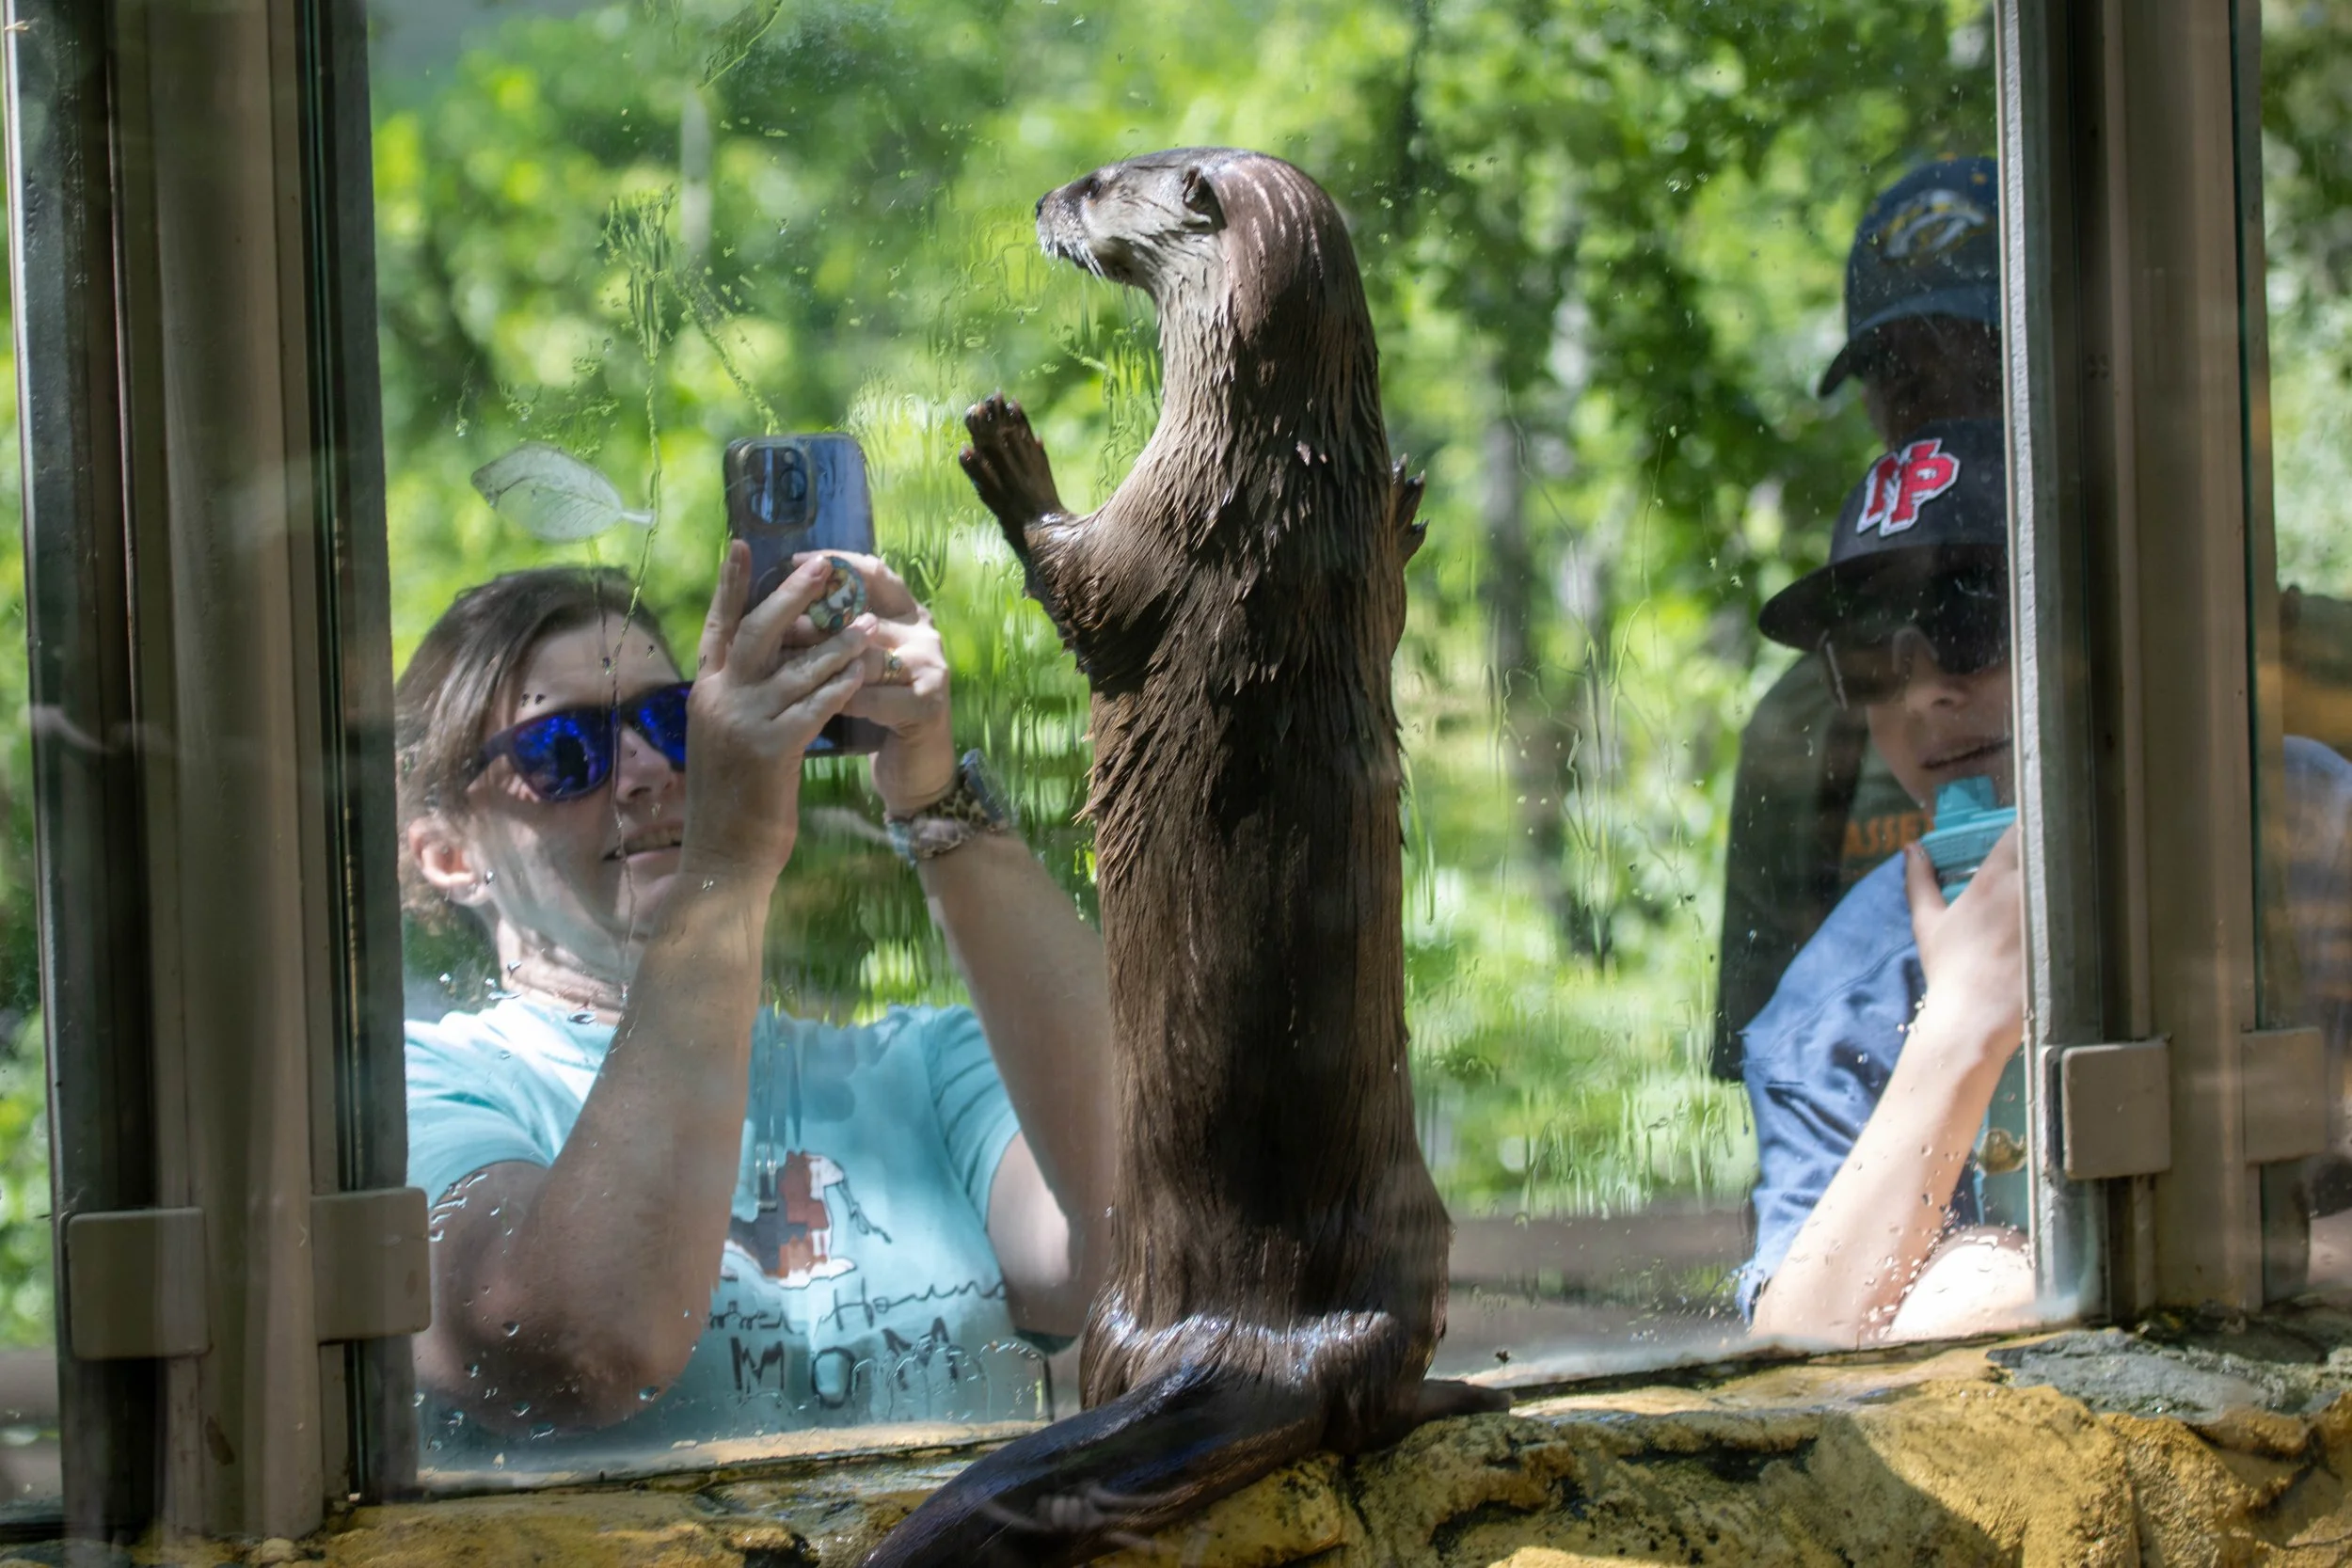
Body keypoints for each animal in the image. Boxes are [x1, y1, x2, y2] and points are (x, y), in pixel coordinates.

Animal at [864, 148, 1505, 1568]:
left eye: (1105, 182)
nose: (1045, 204)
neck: (1278, 472)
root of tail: (1256, 1338)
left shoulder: (1171, 509)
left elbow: (1087, 590)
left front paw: (1011, 457)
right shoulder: (1343, 572)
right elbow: (1390, 589)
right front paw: (1409, 506)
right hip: (1413, 1231)